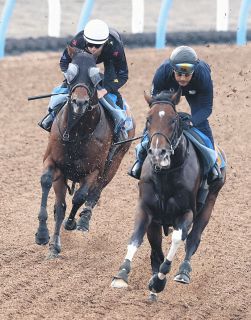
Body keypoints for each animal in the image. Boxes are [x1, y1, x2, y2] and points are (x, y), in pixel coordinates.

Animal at [35, 47, 135, 258]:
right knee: (61, 205)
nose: (79, 102)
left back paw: (83, 220)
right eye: (70, 74)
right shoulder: (54, 163)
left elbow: (80, 197)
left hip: (113, 164)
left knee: (94, 193)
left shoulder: (93, 171)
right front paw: (43, 235)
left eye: (96, 78)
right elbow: (48, 186)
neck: (76, 132)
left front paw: (72, 223)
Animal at [111, 89, 226, 302]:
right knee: (156, 251)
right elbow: (136, 238)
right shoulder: (146, 210)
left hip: (209, 203)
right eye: (148, 119)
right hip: (157, 224)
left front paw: (159, 280)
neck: (166, 174)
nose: (158, 152)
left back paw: (182, 272)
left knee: (193, 240)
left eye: (173, 120)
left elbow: (178, 239)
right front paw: (122, 273)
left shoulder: (186, 212)